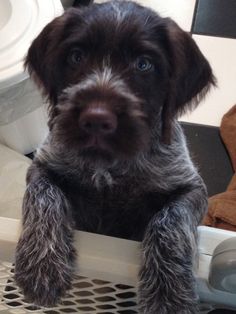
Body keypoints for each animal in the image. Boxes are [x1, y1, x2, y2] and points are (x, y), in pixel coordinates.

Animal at [13, 1, 215, 312]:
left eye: (144, 64)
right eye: (76, 56)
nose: (97, 119)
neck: (111, 164)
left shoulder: (191, 189)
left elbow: (170, 220)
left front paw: (169, 293)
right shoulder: (43, 167)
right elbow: (44, 195)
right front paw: (42, 263)